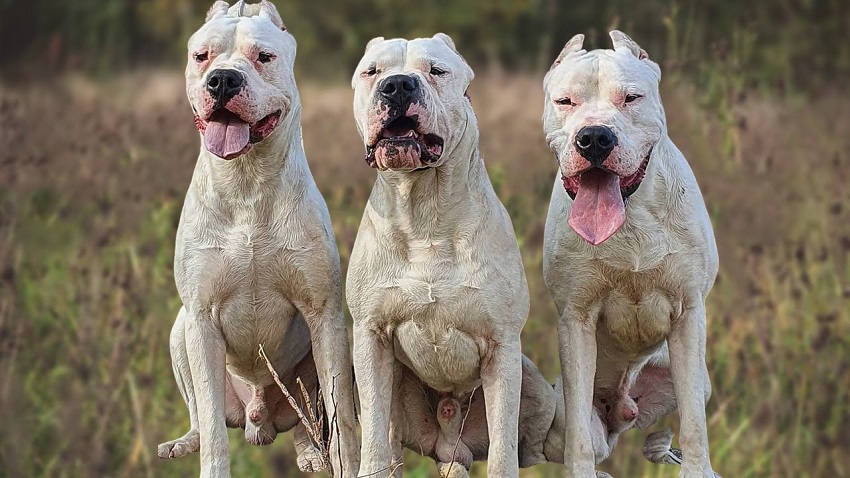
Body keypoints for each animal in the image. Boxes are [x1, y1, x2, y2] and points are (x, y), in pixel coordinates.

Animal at [154, 1, 356, 476]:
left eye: (264, 57)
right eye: (202, 56)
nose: (224, 79)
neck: (246, 182)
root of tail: (257, 420)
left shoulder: (324, 314)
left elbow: (342, 414)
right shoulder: (201, 319)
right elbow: (212, 425)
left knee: (306, 419)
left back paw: (309, 455)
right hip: (180, 332)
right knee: (200, 416)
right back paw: (182, 443)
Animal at [342, 34, 528, 478]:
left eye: (436, 71)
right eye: (372, 71)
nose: (397, 85)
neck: (424, 213)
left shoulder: (502, 349)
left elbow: (503, 454)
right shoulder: (371, 339)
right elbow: (374, 444)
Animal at [544, 31, 716, 476]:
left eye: (632, 98)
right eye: (565, 101)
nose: (594, 137)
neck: (631, 217)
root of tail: (618, 409)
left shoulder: (689, 315)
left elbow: (694, 422)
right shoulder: (576, 320)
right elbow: (579, 441)